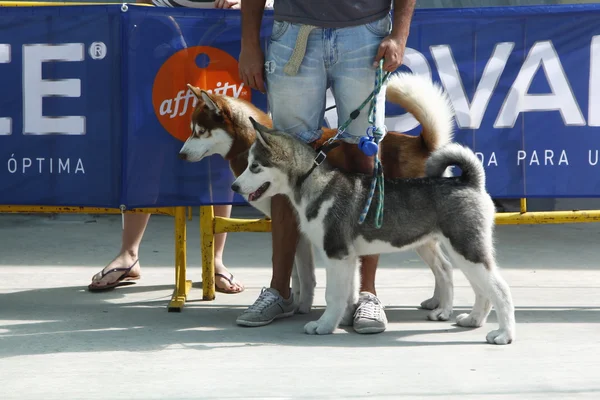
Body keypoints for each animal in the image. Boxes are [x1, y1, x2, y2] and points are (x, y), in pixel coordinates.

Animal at [180, 72, 458, 322]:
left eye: (200, 131)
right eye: (192, 130)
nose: (181, 154)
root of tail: (423, 143)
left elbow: (303, 272)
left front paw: (302, 304)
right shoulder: (298, 226)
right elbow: (294, 270)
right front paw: (290, 301)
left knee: (444, 266)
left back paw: (439, 307)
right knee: (443, 265)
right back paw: (436, 301)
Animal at [230, 118, 516, 344]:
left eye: (255, 166)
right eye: (248, 163)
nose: (234, 187)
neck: (314, 183)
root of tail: (469, 180)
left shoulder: (336, 254)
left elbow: (333, 295)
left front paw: (324, 326)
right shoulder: (348, 258)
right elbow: (348, 293)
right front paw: (342, 320)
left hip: (466, 249)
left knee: (500, 289)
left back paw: (503, 335)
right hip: (460, 250)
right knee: (481, 288)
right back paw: (473, 320)